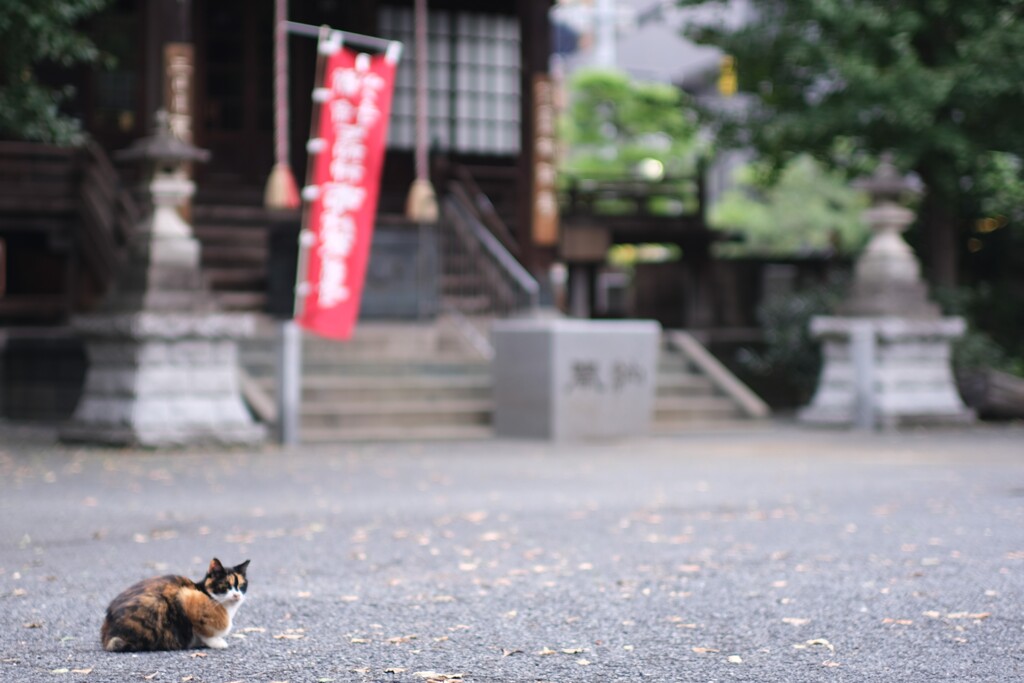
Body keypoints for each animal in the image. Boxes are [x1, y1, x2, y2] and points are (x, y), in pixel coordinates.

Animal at [100, 557, 248, 655]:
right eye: (225, 585)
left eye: (241, 586)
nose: (237, 595)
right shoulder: (186, 596)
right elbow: (204, 631)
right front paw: (216, 642)